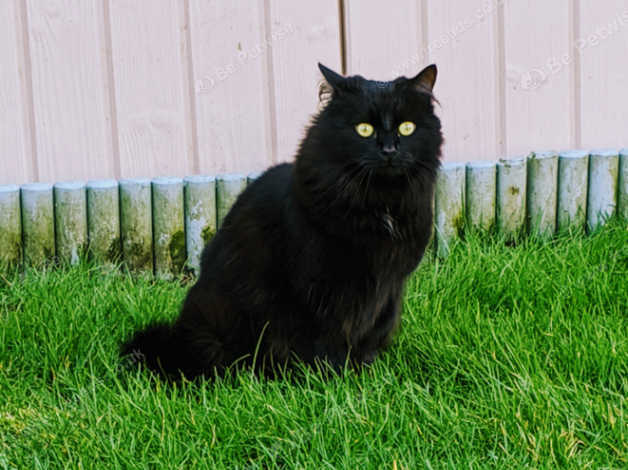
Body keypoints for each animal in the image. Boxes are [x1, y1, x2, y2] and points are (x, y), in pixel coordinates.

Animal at [121, 62, 442, 378]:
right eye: (363, 129)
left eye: (407, 128)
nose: (389, 150)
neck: (379, 203)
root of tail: (178, 341)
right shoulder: (322, 288)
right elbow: (328, 341)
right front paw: (334, 380)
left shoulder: (388, 291)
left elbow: (368, 334)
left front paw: (365, 372)